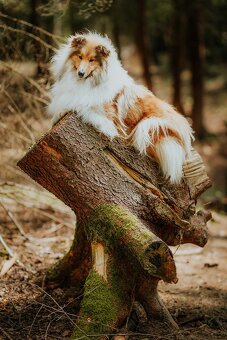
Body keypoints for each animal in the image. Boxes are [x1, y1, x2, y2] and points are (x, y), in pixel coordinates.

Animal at [48, 32, 193, 183]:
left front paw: (61, 112)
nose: (80, 73)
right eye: (80, 57)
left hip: (149, 125)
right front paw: (56, 116)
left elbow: (80, 106)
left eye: (92, 60)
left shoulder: (106, 116)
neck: (90, 81)